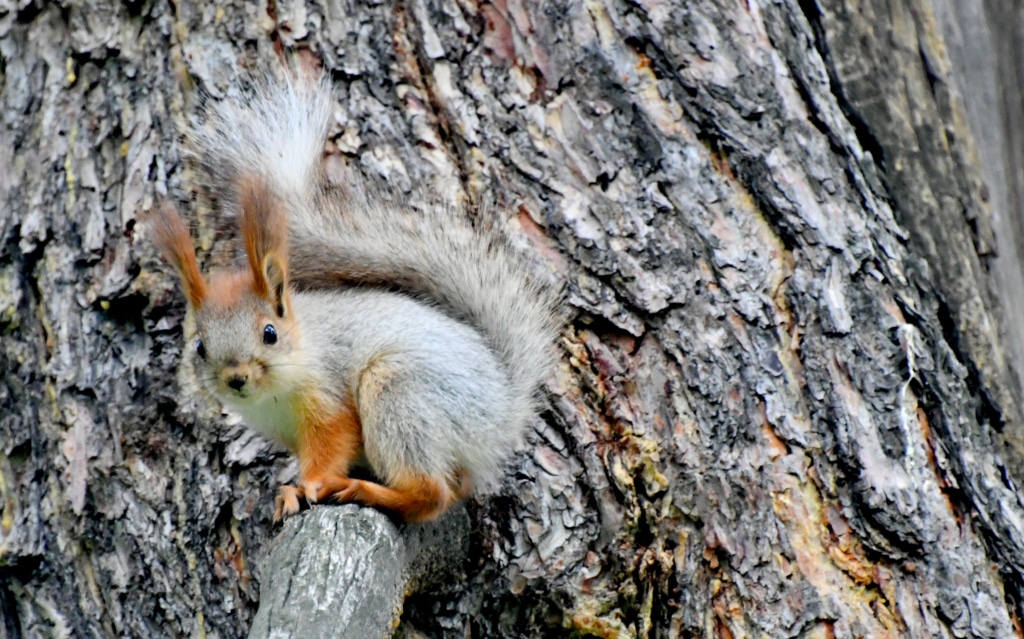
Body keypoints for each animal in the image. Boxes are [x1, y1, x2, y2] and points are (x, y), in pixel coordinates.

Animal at [149, 72, 561, 524]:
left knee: (431, 494)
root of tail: (503, 409)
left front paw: (307, 486)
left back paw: (365, 490)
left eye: (270, 333)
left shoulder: (328, 398)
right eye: (200, 347)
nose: (236, 378)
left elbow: (331, 442)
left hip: (398, 388)